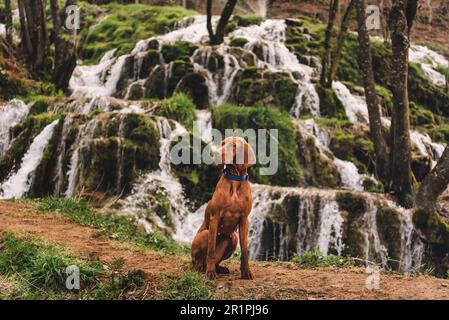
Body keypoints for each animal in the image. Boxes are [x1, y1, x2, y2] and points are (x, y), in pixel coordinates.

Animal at [191, 136, 258, 278]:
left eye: (234, 145)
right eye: (222, 143)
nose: (216, 154)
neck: (235, 178)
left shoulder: (244, 220)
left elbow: (245, 251)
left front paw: (246, 271)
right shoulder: (215, 217)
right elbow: (211, 250)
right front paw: (210, 272)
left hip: (233, 237)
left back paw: (219, 268)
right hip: (205, 234)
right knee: (199, 261)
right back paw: (204, 269)